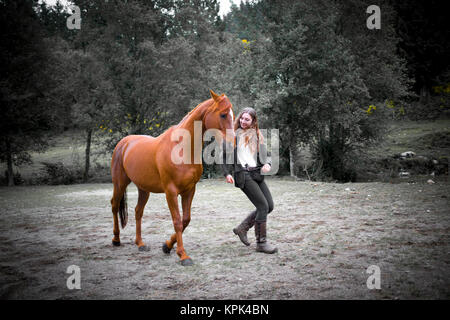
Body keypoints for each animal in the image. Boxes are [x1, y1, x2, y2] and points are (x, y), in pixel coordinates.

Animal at [110, 90, 234, 264]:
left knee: (138, 211)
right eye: (223, 114)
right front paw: (183, 255)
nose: (232, 144)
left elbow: (185, 220)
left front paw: (167, 246)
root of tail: (124, 143)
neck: (182, 148)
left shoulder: (189, 190)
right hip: (120, 183)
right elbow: (177, 221)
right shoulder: (171, 192)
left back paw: (140, 243)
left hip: (143, 189)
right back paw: (116, 239)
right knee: (115, 205)